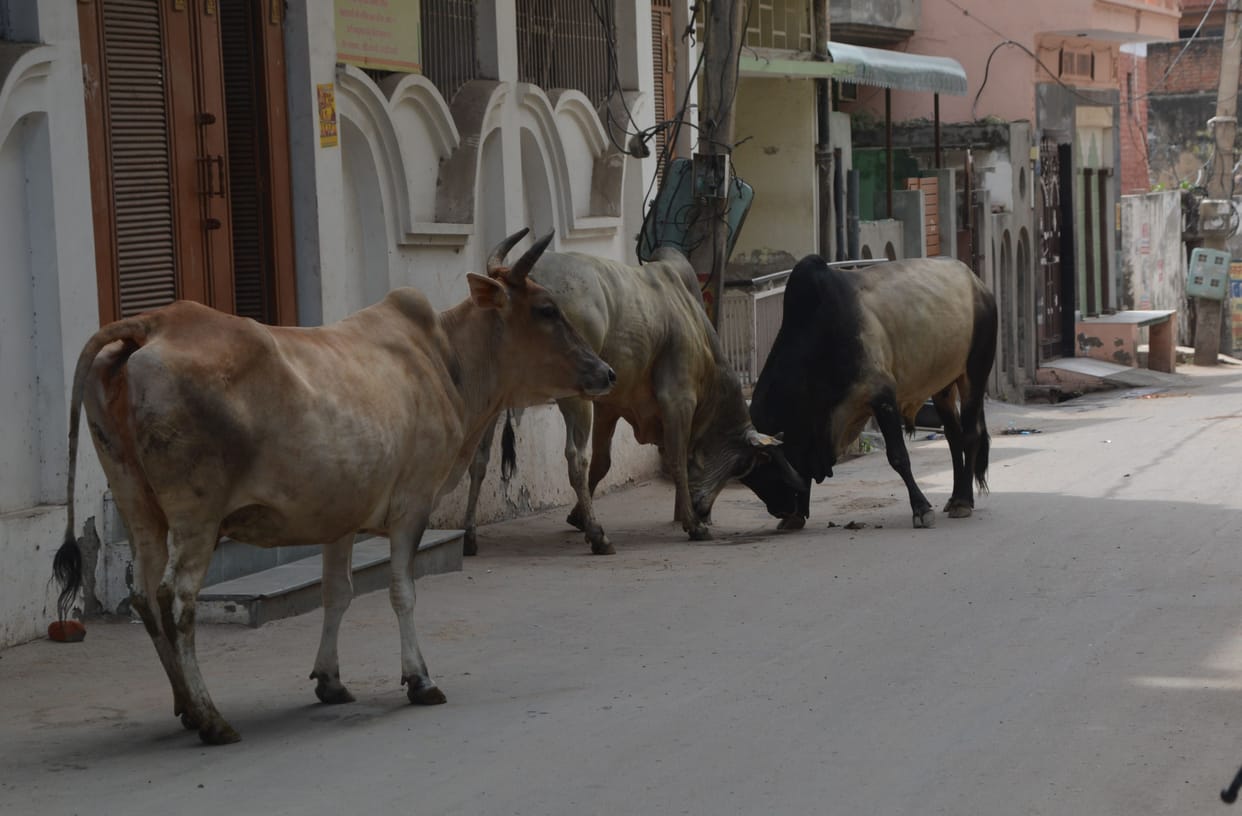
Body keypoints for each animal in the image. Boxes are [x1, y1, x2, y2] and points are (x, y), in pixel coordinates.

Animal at [51, 229, 616, 745]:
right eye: (546, 309)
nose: (605, 371)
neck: (446, 361)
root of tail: (154, 324)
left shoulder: (341, 514)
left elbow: (337, 593)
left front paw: (330, 680)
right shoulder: (412, 504)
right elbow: (401, 591)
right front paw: (419, 678)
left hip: (137, 504)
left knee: (145, 596)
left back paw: (187, 707)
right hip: (197, 517)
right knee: (177, 598)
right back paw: (211, 719)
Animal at [459, 247, 801, 556]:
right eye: (743, 464)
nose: (704, 510)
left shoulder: (609, 407)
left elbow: (603, 463)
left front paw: (578, 516)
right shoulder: (678, 398)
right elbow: (677, 460)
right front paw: (692, 524)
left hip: (495, 397)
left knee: (480, 457)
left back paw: (470, 537)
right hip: (574, 395)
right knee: (575, 458)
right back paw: (599, 538)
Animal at [740, 254, 997, 530]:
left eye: (765, 468)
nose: (780, 510)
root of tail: (977, 283)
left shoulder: (881, 396)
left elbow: (898, 456)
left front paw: (921, 508)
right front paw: (797, 517)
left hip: (974, 373)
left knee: (970, 434)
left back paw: (963, 501)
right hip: (943, 387)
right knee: (953, 437)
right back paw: (954, 497)